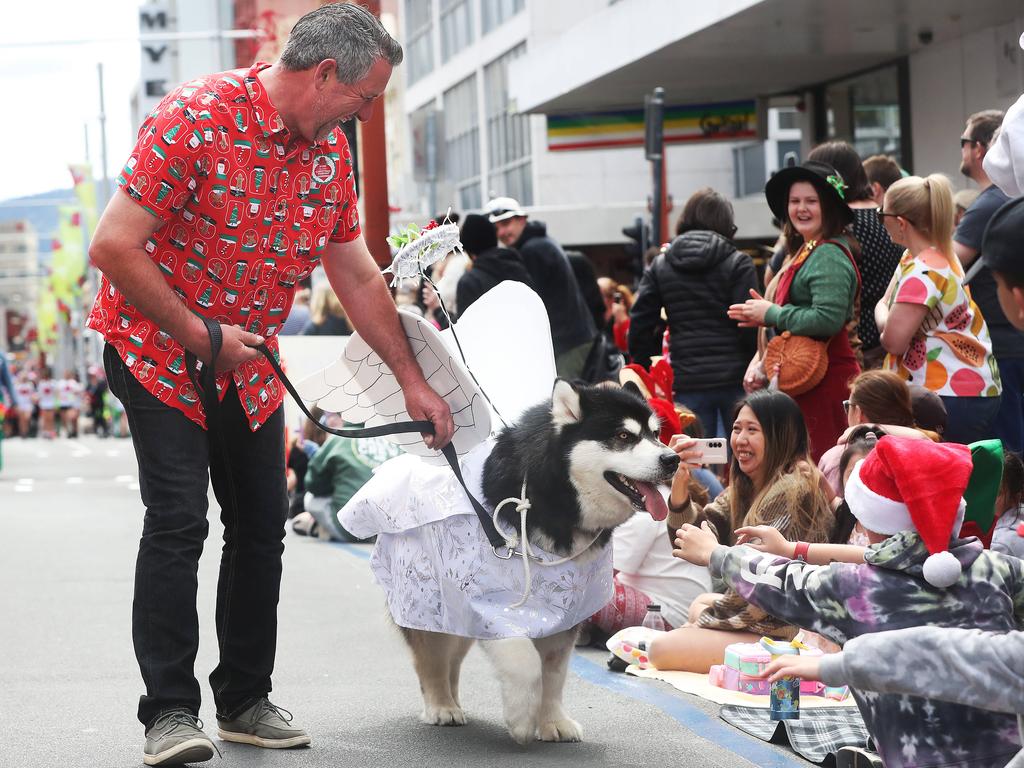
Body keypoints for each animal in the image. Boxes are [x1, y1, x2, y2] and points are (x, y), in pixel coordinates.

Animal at [399, 382, 679, 741]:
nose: (672, 459)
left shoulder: (568, 609)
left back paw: (454, 701)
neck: (552, 496)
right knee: (432, 657)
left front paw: (552, 720)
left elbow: (555, 673)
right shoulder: (490, 603)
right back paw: (441, 705)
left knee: (452, 658)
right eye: (623, 436)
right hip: (429, 601)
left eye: (656, 434)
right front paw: (521, 716)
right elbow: (526, 662)